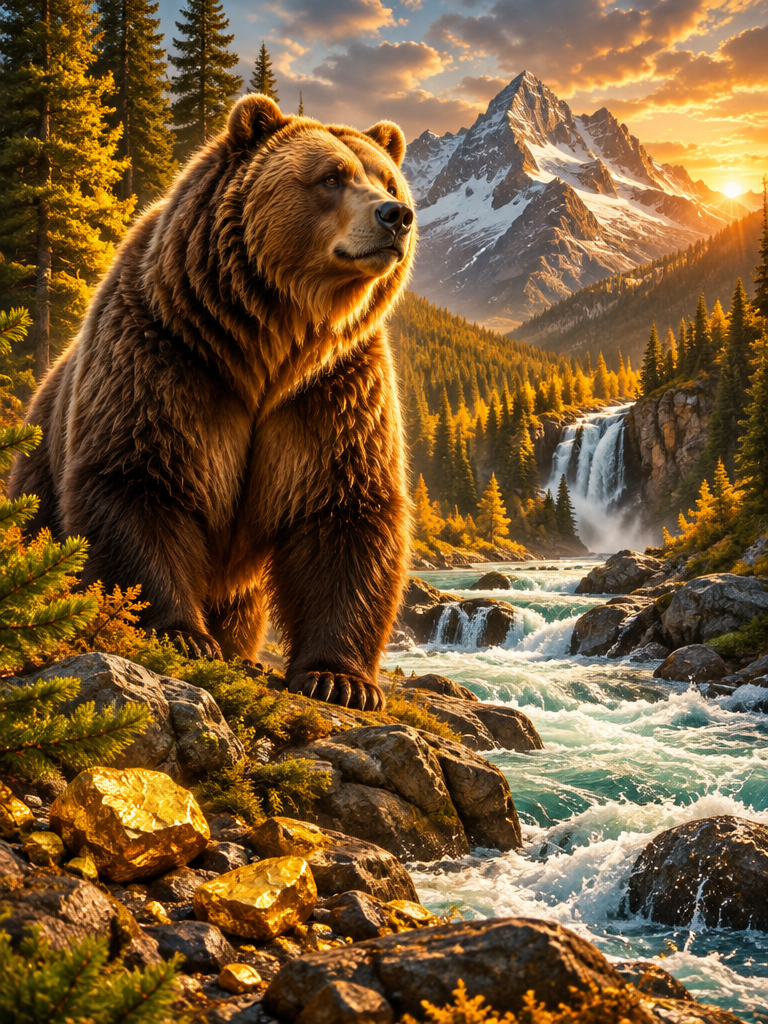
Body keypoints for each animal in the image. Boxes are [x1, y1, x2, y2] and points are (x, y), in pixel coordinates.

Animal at [9, 94, 416, 712]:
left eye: (387, 178)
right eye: (331, 176)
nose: (396, 215)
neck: (267, 345)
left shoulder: (332, 390)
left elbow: (344, 509)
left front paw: (339, 679)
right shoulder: (167, 356)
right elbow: (138, 480)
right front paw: (181, 634)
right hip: (40, 472)